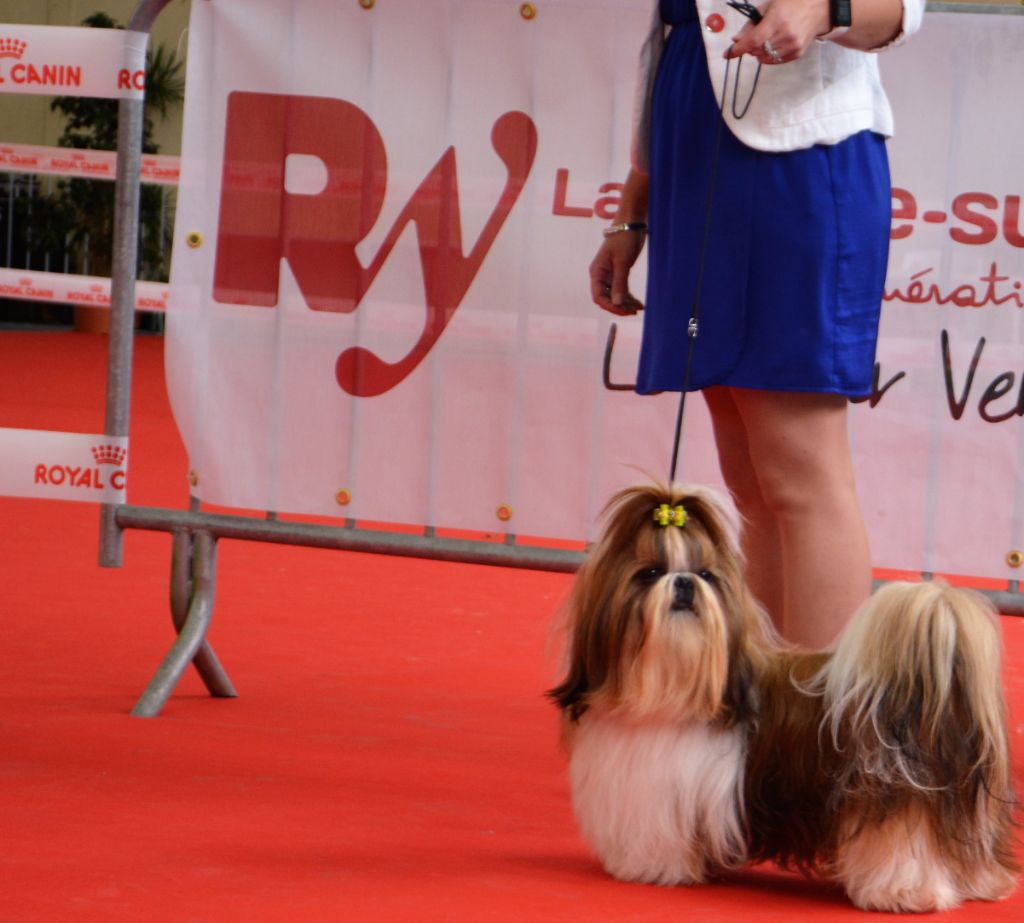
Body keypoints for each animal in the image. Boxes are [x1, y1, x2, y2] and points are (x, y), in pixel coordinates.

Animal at [552, 485, 1015, 909]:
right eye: (649, 573)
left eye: (706, 575)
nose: (684, 583)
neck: (672, 684)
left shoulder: (665, 795)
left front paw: (650, 868)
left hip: (892, 802)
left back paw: (901, 892)